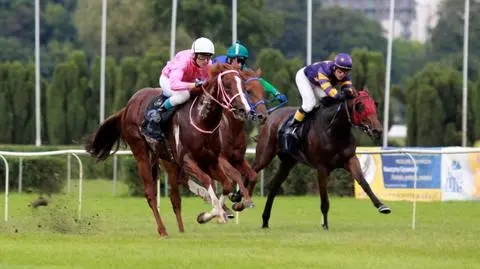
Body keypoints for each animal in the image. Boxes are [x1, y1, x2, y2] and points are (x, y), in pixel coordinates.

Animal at [86, 63, 249, 236]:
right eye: (227, 86)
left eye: (244, 85)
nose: (243, 110)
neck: (201, 120)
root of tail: (128, 106)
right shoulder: (186, 160)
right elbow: (206, 179)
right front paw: (218, 213)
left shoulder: (211, 160)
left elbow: (226, 184)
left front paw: (210, 214)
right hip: (141, 153)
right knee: (151, 193)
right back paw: (163, 230)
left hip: (161, 158)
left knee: (175, 195)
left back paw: (183, 225)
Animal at [248, 88, 390, 228]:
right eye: (360, 106)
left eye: (375, 105)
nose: (377, 130)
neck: (335, 131)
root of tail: (270, 116)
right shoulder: (322, 167)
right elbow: (324, 197)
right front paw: (325, 225)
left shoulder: (350, 159)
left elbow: (363, 182)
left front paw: (381, 206)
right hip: (264, 155)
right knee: (252, 171)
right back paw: (243, 201)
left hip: (288, 162)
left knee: (274, 187)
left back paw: (265, 220)